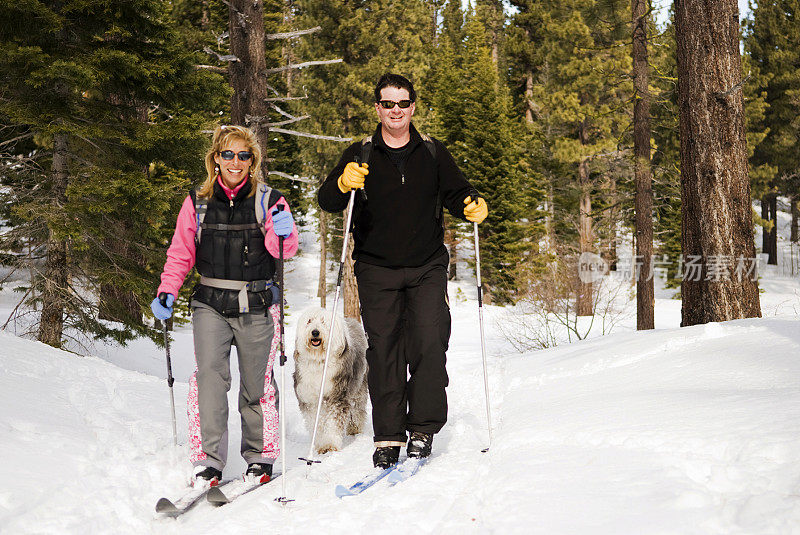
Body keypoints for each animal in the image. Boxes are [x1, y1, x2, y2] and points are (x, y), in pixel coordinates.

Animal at [294, 308, 368, 454]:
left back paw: (354, 428)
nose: (315, 332)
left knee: (357, 409)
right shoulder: (309, 399)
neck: (319, 360)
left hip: (358, 388)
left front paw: (330, 445)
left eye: (323, 321)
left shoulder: (337, 396)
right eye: (309, 320)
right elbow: (315, 422)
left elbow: (333, 423)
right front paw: (320, 444)